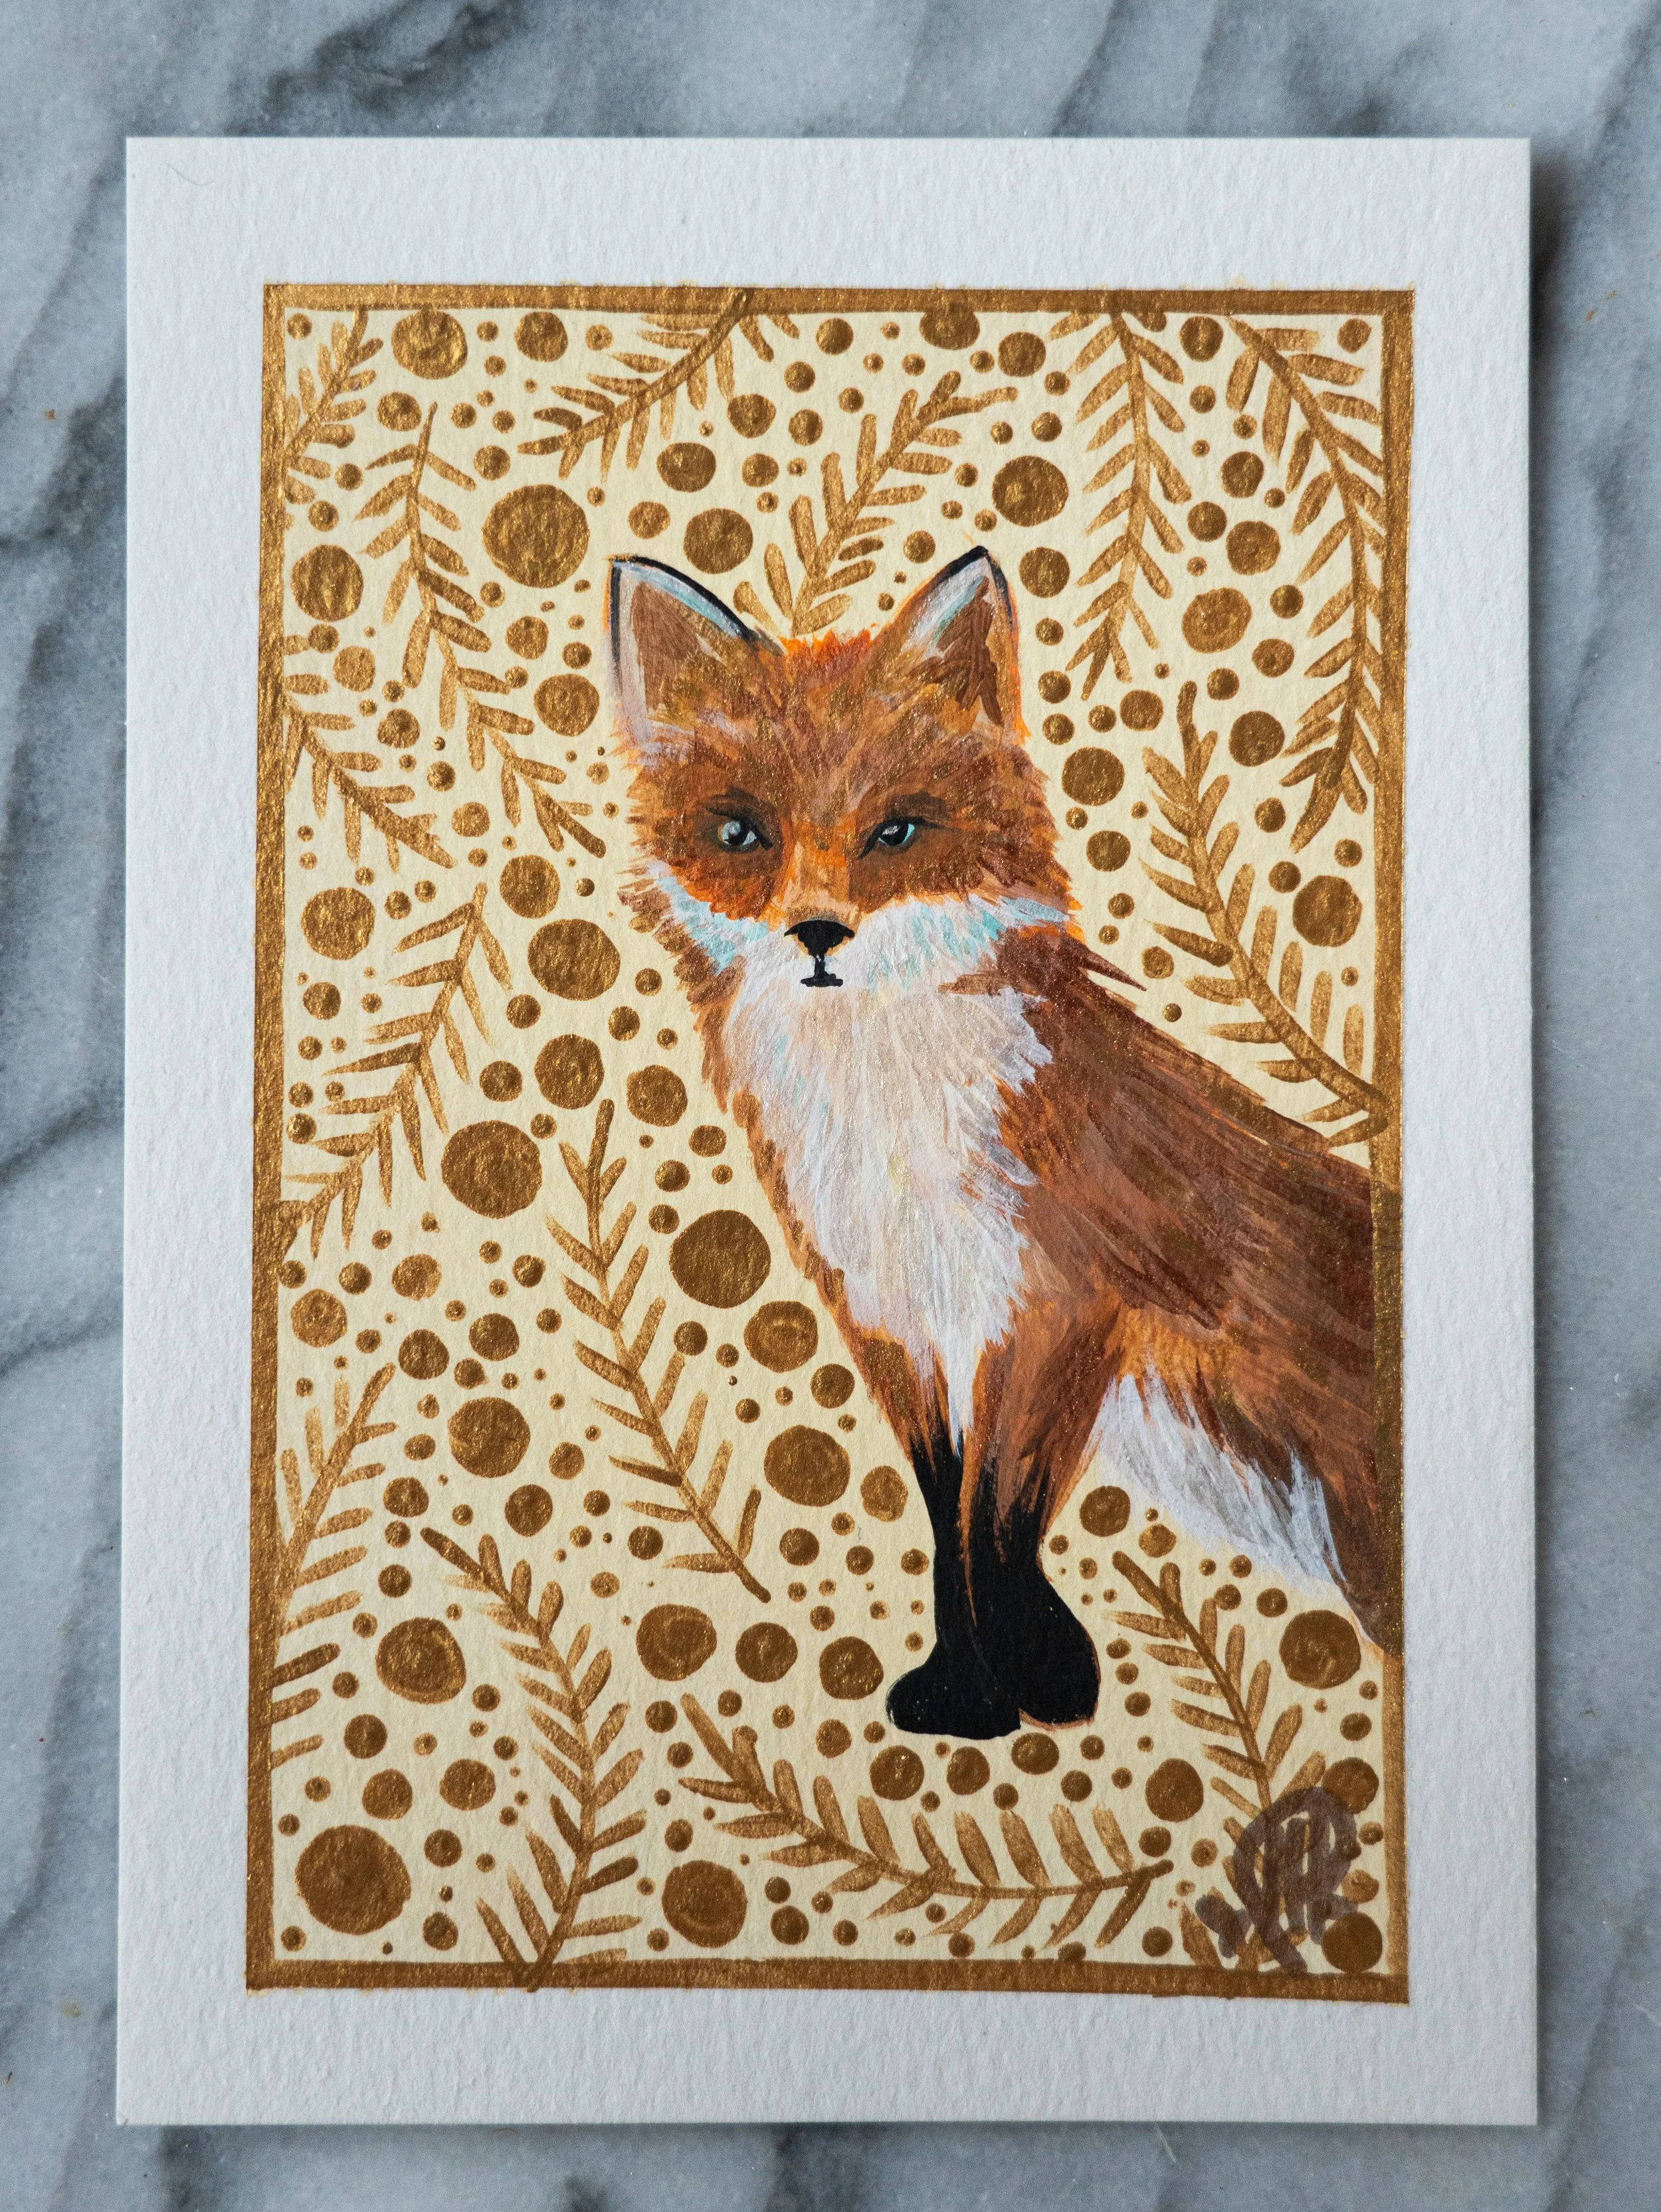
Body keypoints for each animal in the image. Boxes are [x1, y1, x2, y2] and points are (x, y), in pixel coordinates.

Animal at [608, 547, 1385, 1742]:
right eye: (741, 834)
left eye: (896, 831)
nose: (818, 933)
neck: (889, 1132)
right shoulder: (896, 1320)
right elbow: (946, 1515)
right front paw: (964, 1688)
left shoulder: (1053, 1307)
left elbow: (998, 1519)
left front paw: (1034, 1682)